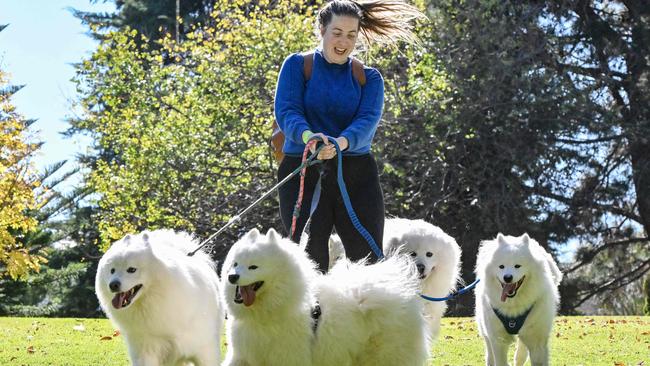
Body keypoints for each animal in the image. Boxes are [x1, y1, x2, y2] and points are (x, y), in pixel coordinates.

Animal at [470, 233, 560, 366]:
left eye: (517, 266)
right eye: (501, 266)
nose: (507, 278)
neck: (514, 305)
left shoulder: (536, 339)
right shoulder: (498, 339)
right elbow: (500, 361)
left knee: (520, 354)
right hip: (485, 328)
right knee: (489, 352)